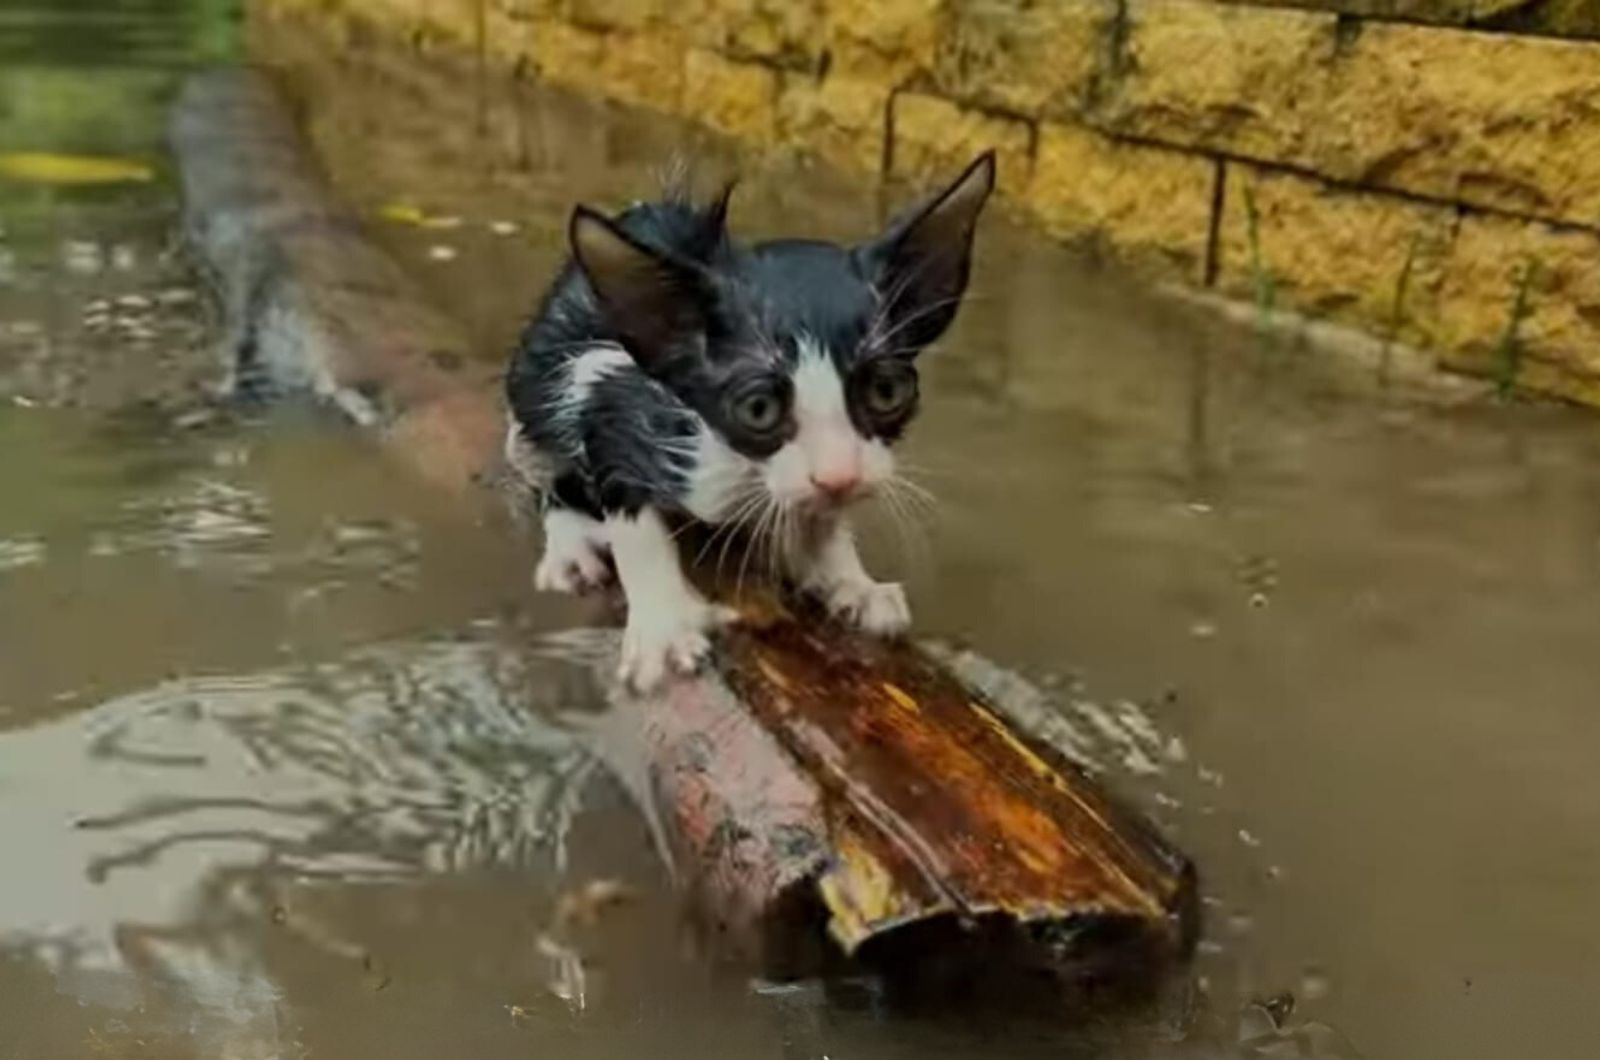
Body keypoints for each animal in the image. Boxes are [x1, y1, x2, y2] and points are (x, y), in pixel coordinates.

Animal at [505, 153, 992, 694]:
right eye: (758, 409)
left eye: (887, 392)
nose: (840, 477)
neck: (742, 467)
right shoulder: (610, 389)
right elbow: (631, 511)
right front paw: (664, 629)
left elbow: (824, 520)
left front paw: (851, 580)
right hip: (538, 372)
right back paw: (570, 542)